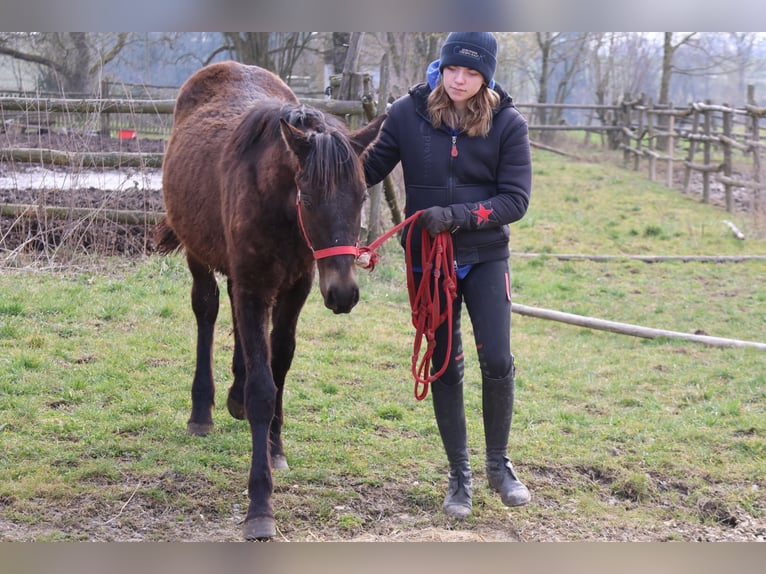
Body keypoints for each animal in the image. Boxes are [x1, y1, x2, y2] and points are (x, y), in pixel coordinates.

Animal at [154, 60, 388, 544]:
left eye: (360, 196)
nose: (344, 293)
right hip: (199, 255)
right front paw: (260, 506)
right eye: (308, 196)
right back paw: (202, 410)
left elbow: (278, 367)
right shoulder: (254, 287)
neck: (277, 207)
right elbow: (264, 388)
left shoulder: (295, 287)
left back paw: (234, 395)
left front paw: (275, 446)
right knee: (207, 309)